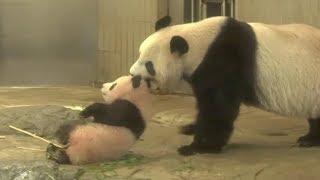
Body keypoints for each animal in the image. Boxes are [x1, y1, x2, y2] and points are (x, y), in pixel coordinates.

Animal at [129, 16, 320, 155]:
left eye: (149, 65)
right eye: (139, 54)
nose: (132, 75)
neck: (200, 42)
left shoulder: (225, 59)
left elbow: (218, 106)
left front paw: (197, 147)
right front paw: (189, 128)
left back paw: (308, 140)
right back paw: (309, 139)